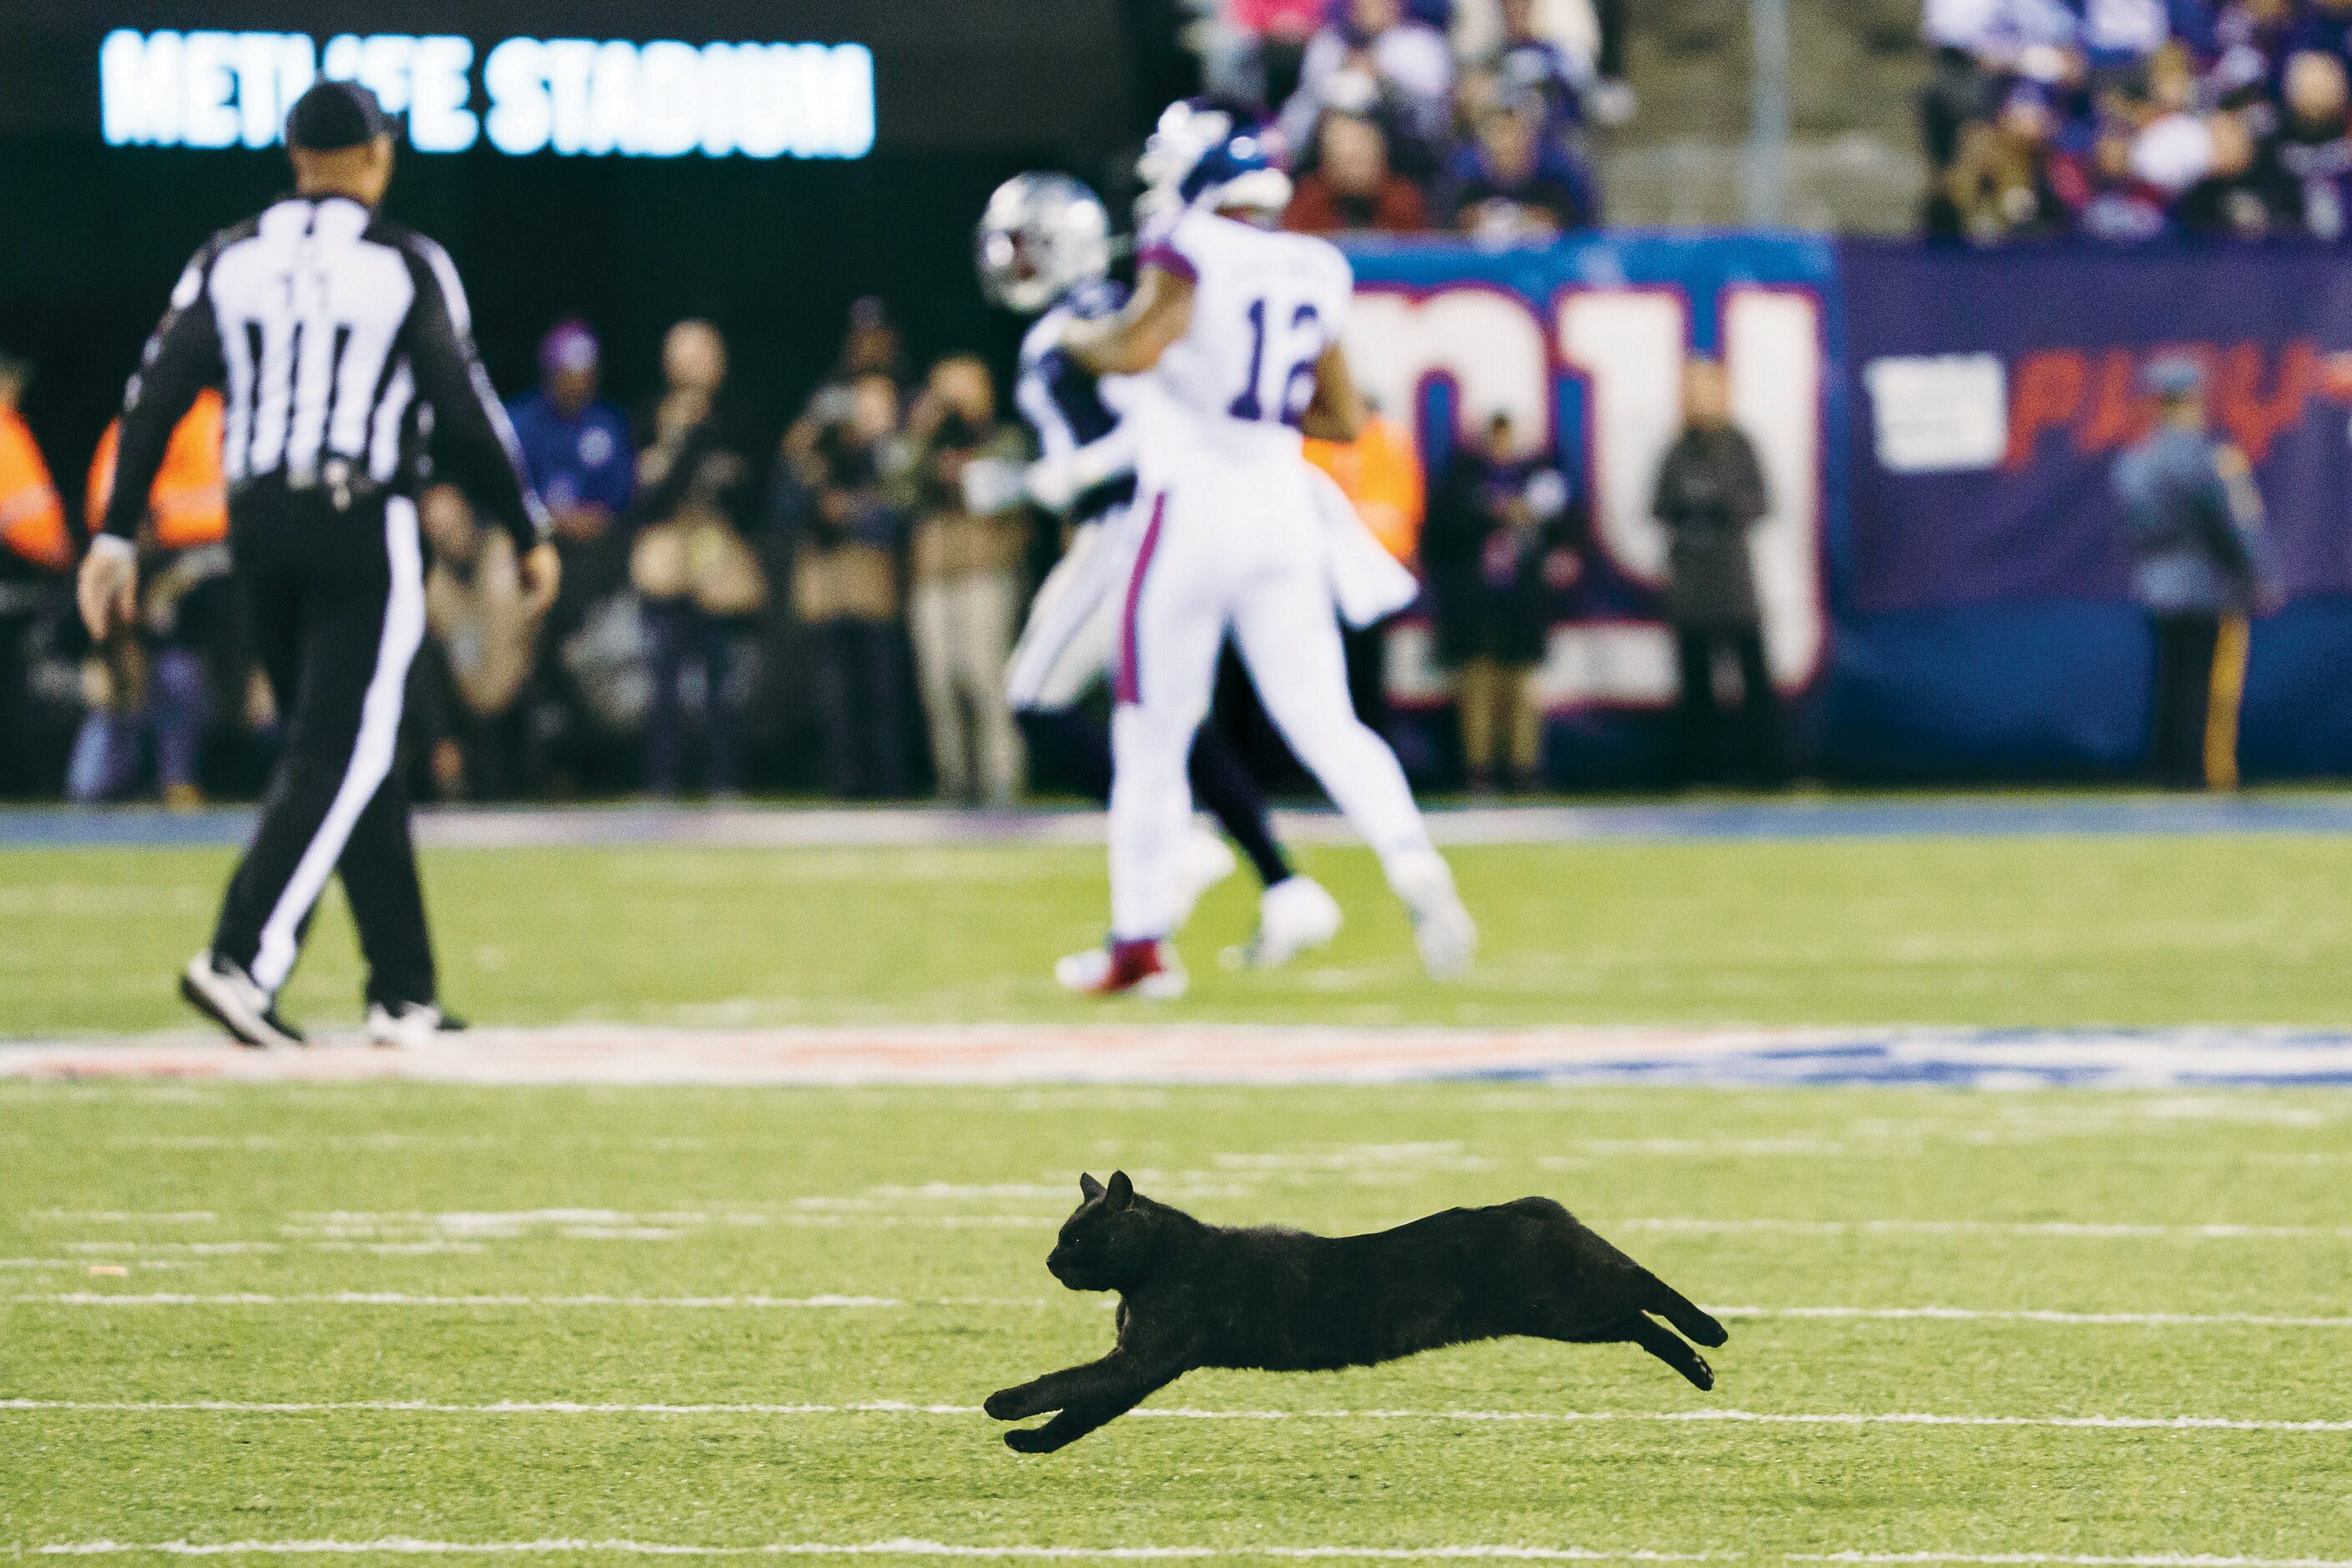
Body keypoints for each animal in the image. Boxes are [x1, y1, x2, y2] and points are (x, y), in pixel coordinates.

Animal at [978, 1171, 1731, 1457]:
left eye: (1078, 1240)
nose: (1050, 1261)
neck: (1155, 1267)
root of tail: (1528, 1203)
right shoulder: (1139, 1367)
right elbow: (1080, 1411)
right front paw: (1030, 1442)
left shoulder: (1144, 1356)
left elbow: (1065, 1384)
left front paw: (1001, 1404)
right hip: (1567, 1315)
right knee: (1637, 1319)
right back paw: (1698, 1368)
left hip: (1567, 1300)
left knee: (1643, 1284)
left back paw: (1711, 1334)